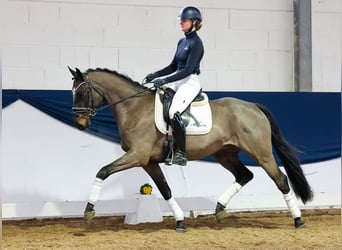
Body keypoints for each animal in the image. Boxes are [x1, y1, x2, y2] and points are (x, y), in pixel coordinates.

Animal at [69, 67, 312, 232]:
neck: (133, 108)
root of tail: (253, 106)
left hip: (261, 154)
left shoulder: (137, 156)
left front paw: (89, 210)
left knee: (280, 180)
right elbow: (165, 190)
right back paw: (220, 210)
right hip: (224, 154)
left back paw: (298, 220)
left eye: (81, 93)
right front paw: (179, 221)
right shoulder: (149, 162)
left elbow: (103, 171)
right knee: (245, 175)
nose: (79, 124)